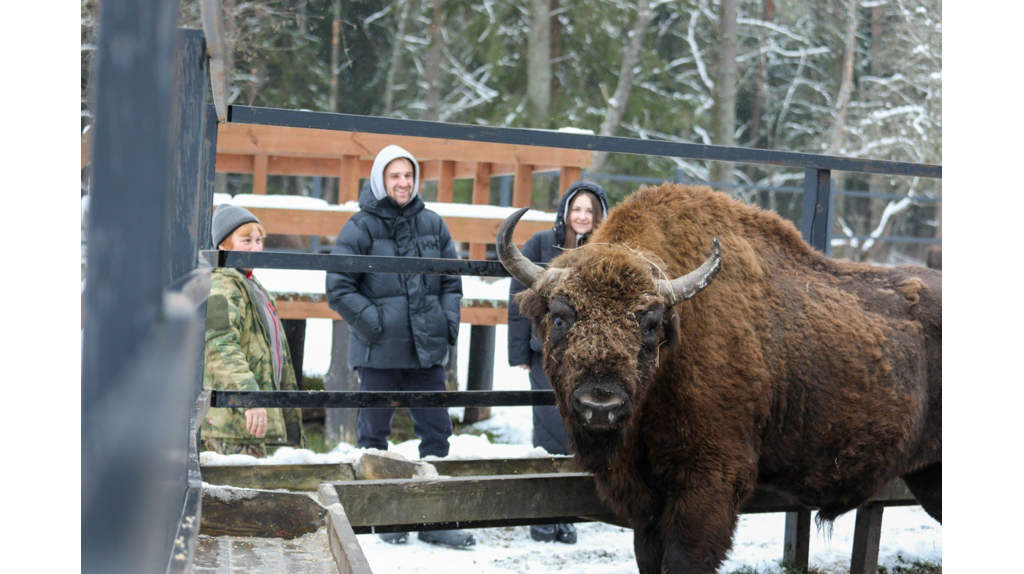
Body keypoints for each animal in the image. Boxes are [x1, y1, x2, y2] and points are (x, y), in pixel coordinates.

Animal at [499, 184, 937, 572]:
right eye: (560, 316)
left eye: (650, 323)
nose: (600, 404)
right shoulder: (646, 504)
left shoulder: (709, 482)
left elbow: (685, 559)